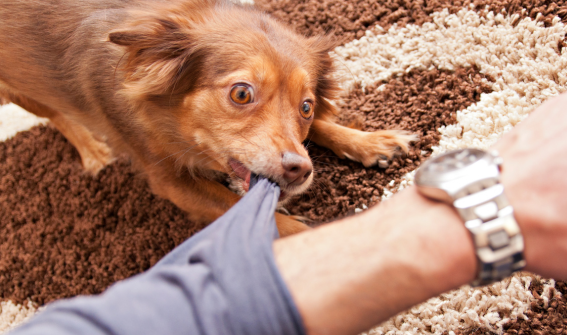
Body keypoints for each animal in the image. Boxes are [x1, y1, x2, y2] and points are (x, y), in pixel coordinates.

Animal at [0, 0, 418, 238]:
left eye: (306, 107)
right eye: (241, 93)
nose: (300, 169)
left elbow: (322, 129)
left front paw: (368, 141)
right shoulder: (169, 181)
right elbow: (252, 214)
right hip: (18, 89)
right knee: (54, 112)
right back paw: (91, 149)